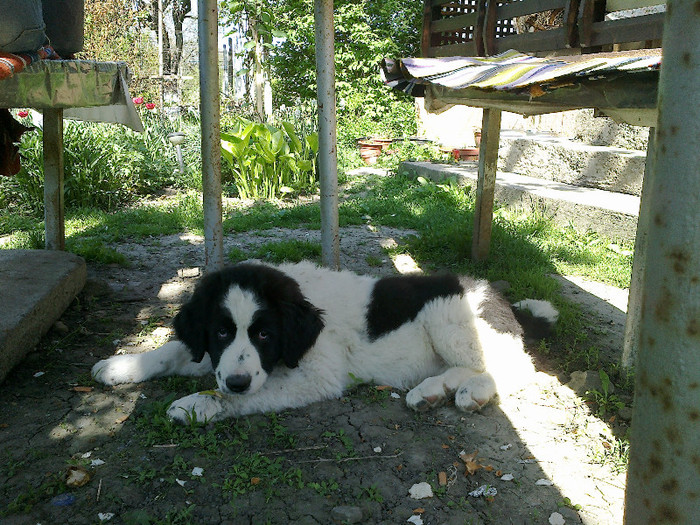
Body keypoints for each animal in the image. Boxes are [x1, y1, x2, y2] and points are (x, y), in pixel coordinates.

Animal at [91, 260, 556, 424]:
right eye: (221, 331)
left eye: (265, 334)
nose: (237, 382)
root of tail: (503, 301)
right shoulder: (221, 357)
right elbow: (175, 350)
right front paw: (122, 365)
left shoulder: (319, 374)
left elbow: (251, 394)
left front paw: (197, 405)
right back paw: (432, 390)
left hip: (448, 316)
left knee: (514, 368)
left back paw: (472, 392)